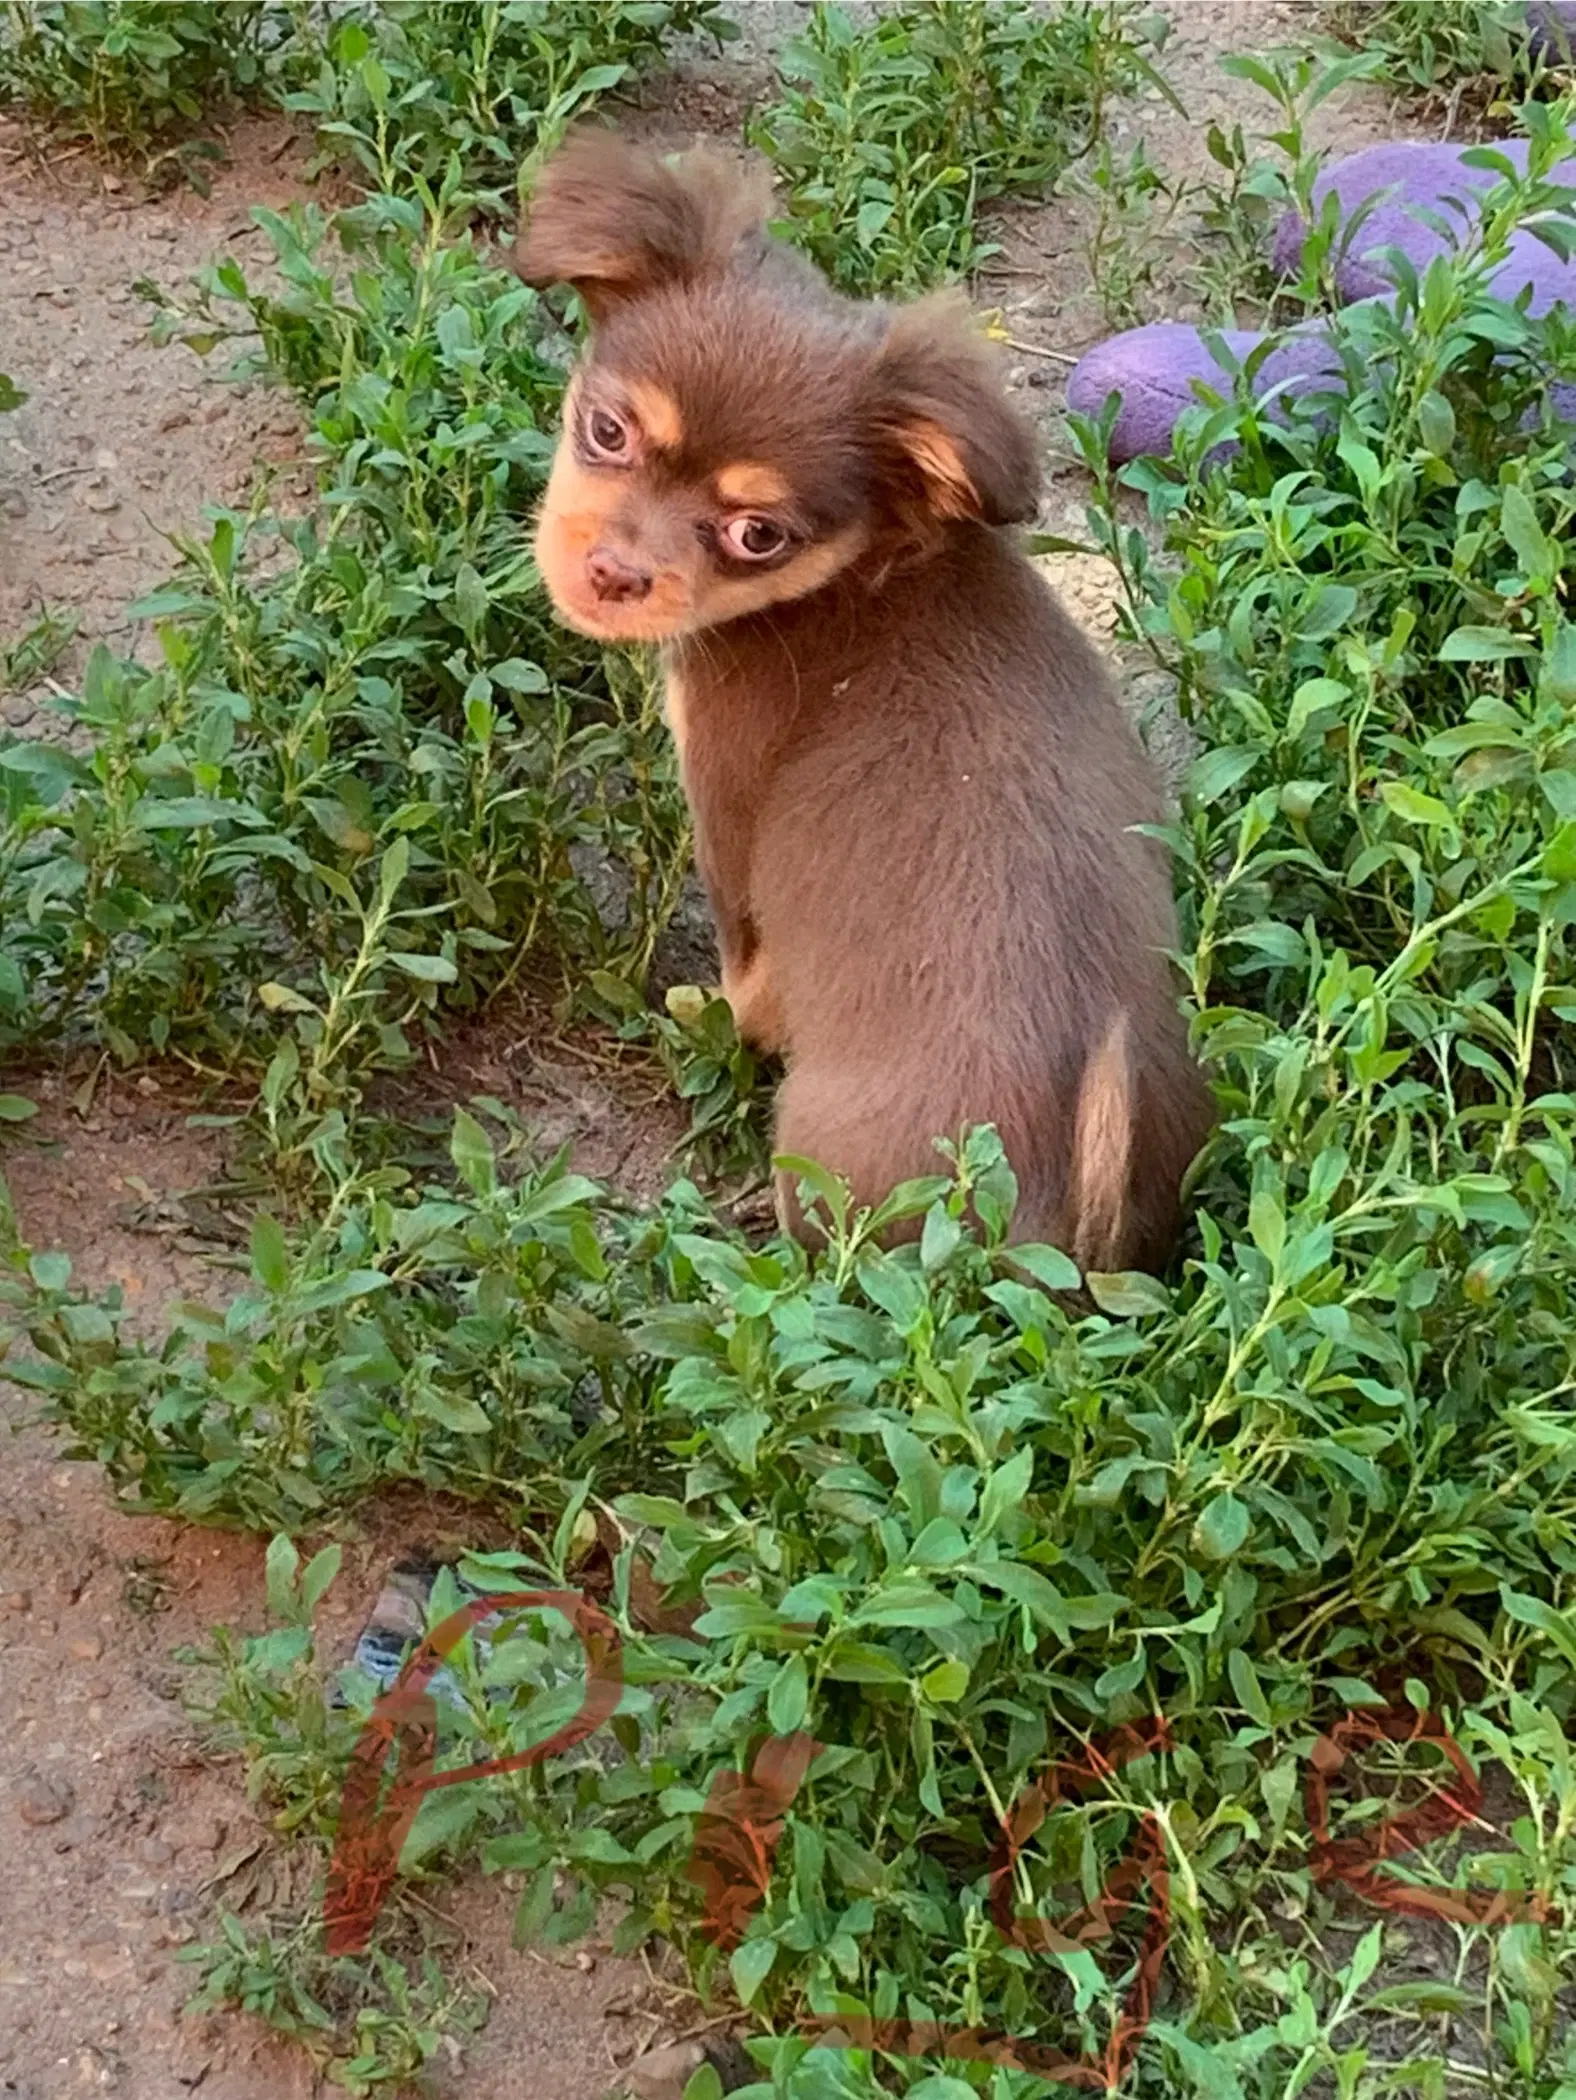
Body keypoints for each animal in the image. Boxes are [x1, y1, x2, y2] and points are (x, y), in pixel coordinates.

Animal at [514, 139, 1210, 1268]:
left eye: (757, 536)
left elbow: (745, 982)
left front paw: (699, 1014)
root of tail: (1062, 1211)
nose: (614, 573)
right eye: (606, 430)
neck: (868, 570)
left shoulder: (729, 821)